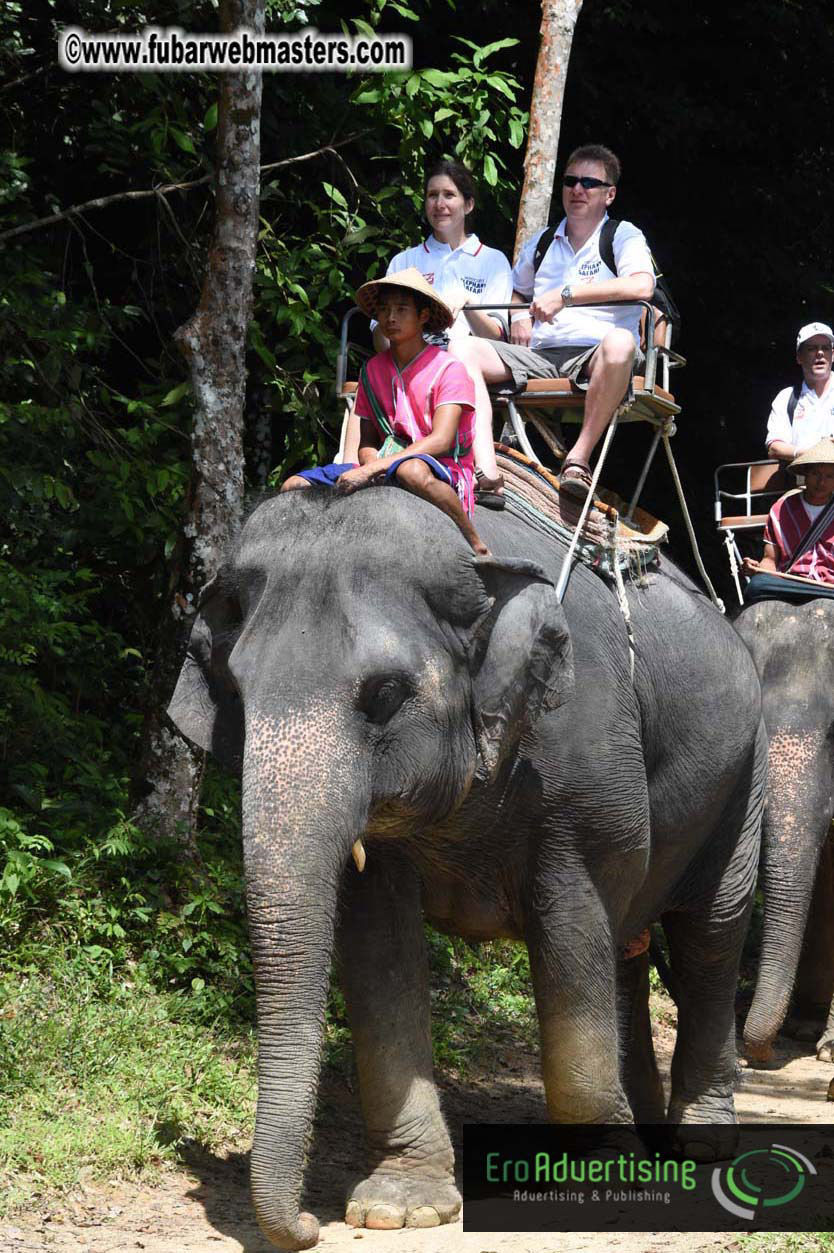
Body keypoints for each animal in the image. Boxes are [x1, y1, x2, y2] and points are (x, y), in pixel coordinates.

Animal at [167, 485, 767, 1251]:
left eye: (384, 695)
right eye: (237, 695)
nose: (304, 1225)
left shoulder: (587, 769)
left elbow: (573, 927)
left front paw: (597, 1184)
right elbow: (380, 949)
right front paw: (400, 1207)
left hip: (743, 772)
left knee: (710, 932)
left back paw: (700, 1144)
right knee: (631, 948)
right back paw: (650, 1133)